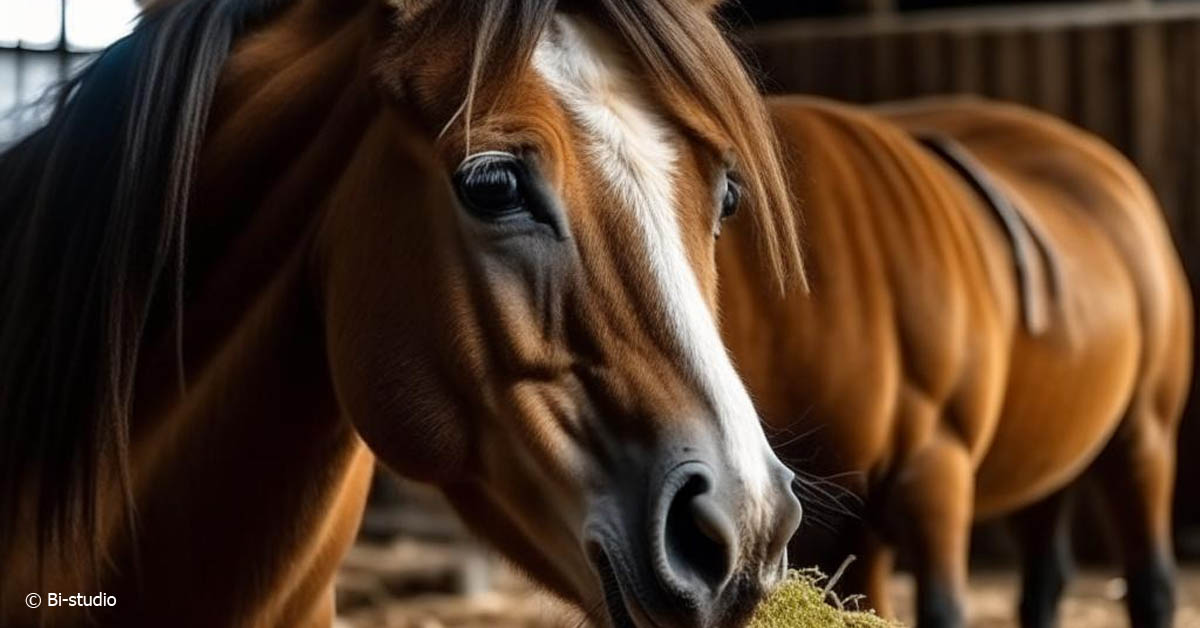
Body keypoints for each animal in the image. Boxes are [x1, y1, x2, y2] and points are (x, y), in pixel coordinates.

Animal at [715, 94, 1195, 628]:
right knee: (1046, 575)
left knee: (1151, 580)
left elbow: (941, 608)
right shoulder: (848, 521)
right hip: (1045, 447)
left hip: (1143, 435)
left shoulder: (931, 467)